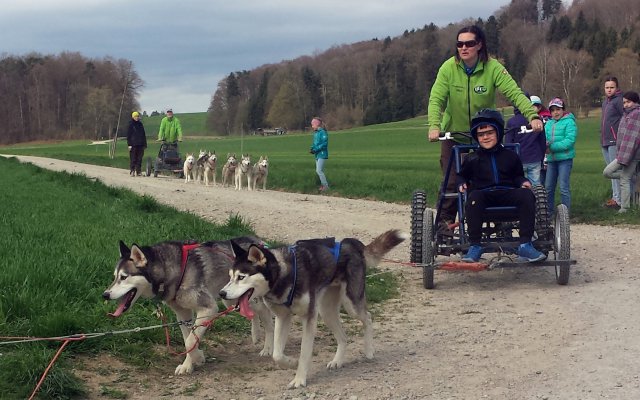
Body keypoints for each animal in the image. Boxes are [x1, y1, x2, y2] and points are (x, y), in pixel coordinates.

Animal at [103, 236, 276, 374]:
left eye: (124, 277)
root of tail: (257, 240)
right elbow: (189, 339)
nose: (105, 294)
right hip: (231, 298)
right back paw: (255, 334)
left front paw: (193, 360)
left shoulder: (208, 308)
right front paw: (194, 360)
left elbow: (190, 341)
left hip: (238, 298)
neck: (172, 271)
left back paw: (268, 347)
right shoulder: (183, 315)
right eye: (114, 277)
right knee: (252, 313)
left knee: (266, 316)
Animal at [220, 230, 404, 390]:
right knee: (343, 337)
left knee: (368, 317)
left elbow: (304, 352)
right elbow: (277, 354)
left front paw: (299, 379)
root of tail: (351, 243)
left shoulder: (309, 317)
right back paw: (337, 360)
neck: (283, 275)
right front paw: (291, 363)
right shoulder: (283, 317)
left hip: (350, 304)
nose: (222, 293)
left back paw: (369, 350)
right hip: (326, 312)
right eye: (230, 276)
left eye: (241, 277)